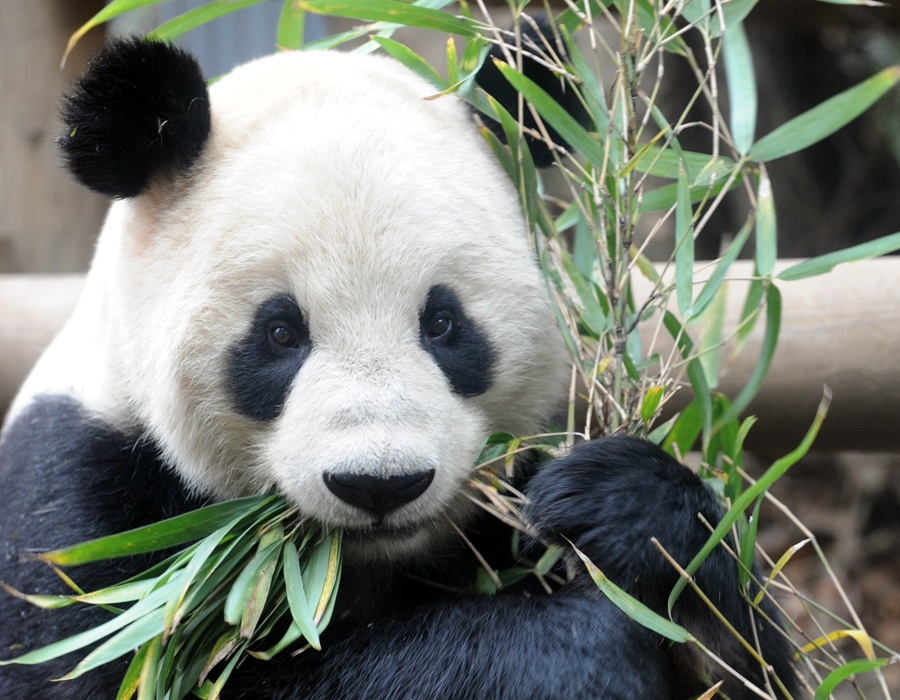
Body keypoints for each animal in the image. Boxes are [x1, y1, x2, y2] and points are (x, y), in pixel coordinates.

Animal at [0, 34, 796, 700]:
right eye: (280, 333)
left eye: (442, 323)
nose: (379, 484)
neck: (349, 565)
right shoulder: (78, 510)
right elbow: (113, 665)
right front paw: (577, 647)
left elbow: (749, 663)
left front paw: (620, 509)